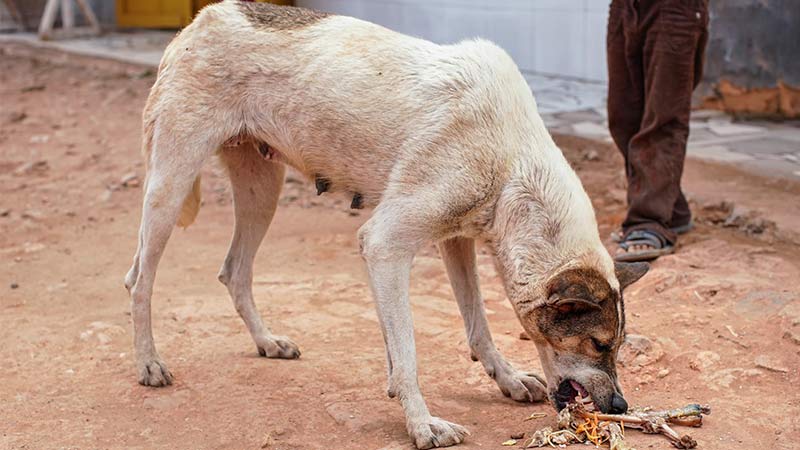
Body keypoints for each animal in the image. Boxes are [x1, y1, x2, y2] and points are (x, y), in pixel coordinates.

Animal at [125, 1, 648, 448]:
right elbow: (410, 352)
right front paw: (422, 424)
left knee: (234, 270)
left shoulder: (454, 241)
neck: (512, 165)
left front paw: (507, 378)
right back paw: (149, 363)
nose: (621, 405)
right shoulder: (384, 244)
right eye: (598, 343)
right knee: (139, 278)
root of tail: (199, 20)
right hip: (170, 185)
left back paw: (266, 342)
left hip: (261, 193)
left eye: (618, 345)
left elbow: (475, 325)